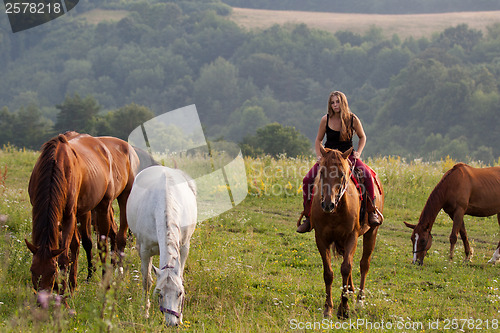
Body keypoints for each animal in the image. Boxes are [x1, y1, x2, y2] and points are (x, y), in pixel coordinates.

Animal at [25, 131, 139, 294]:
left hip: (115, 201)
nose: (43, 297)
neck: (55, 165)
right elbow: (73, 246)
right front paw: (71, 285)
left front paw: (64, 292)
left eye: (52, 272)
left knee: (113, 239)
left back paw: (113, 276)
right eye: (32, 271)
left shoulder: (69, 216)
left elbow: (64, 256)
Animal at [127, 165, 197, 326]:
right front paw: (145, 312)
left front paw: (181, 317)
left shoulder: (184, 248)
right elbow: (146, 281)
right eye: (160, 294)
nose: (172, 323)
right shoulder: (145, 251)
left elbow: (181, 277)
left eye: (179, 293)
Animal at [310, 147, 384, 318]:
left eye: (342, 174)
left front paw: (344, 308)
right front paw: (328, 308)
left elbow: (346, 268)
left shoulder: (352, 237)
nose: (328, 204)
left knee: (364, 264)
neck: (335, 211)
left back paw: (359, 300)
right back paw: (350, 291)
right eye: (321, 172)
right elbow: (328, 273)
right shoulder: (321, 239)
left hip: (372, 232)